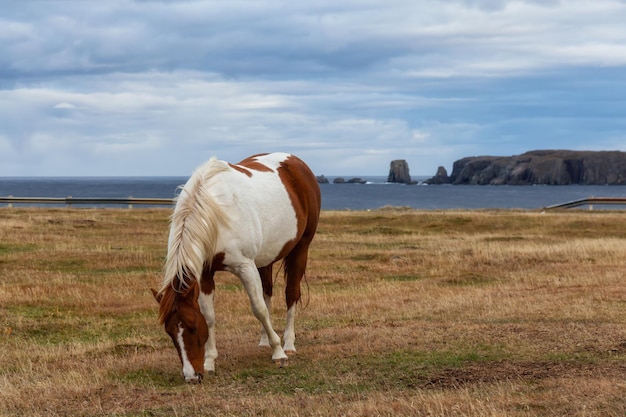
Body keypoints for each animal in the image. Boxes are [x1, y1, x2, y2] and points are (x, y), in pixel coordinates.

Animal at [150, 152, 316, 380]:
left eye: (193, 328)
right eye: (170, 332)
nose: (192, 376)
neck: (214, 214)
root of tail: (295, 161)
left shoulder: (245, 267)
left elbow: (259, 309)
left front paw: (279, 353)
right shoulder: (205, 273)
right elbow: (210, 315)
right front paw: (210, 361)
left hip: (301, 249)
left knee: (291, 294)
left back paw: (288, 344)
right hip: (265, 258)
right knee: (267, 291)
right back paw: (264, 340)